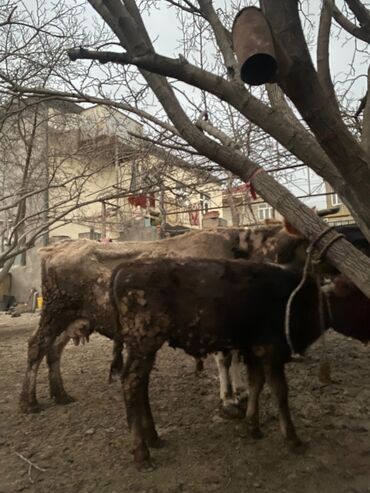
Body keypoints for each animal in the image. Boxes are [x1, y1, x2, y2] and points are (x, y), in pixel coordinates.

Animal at [110, 258, 370, 468]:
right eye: (359, 297)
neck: (301, 297)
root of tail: (126, 267)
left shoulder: (253, 351)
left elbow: (256, 384)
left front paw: (253, 426)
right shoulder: (271, 352)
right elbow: (280, 392)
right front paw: (292, 439)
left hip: (146, 348)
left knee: (141, 386)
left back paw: (154, 438)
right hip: (144, 342)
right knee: (131, 384)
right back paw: (142, 453)